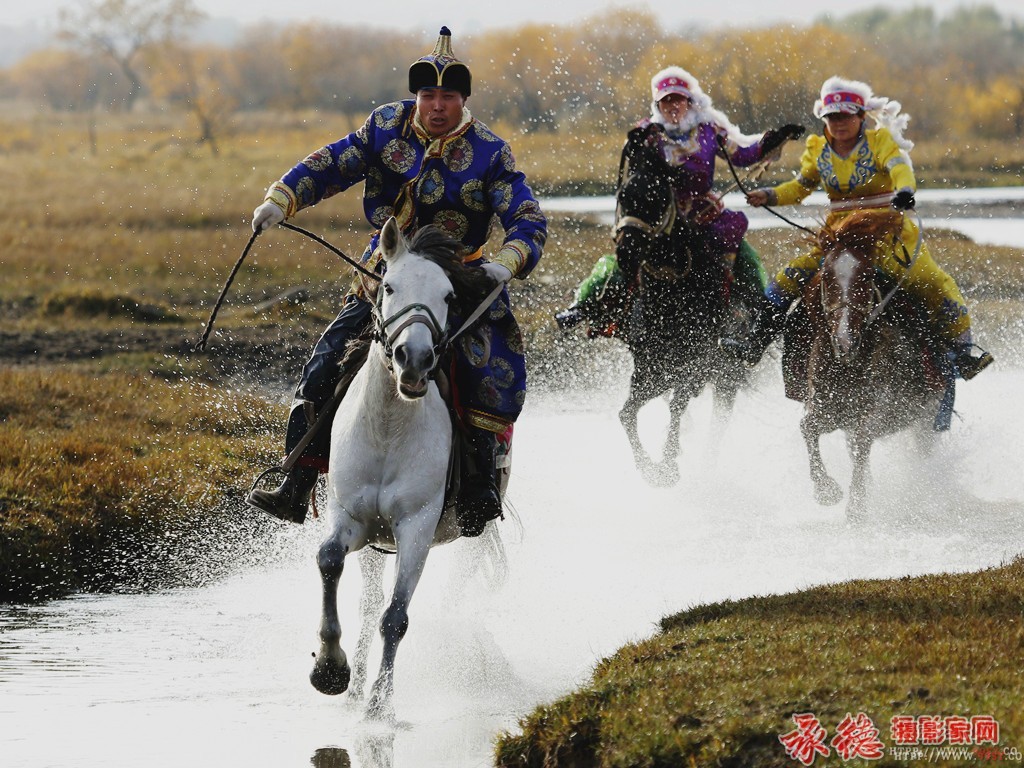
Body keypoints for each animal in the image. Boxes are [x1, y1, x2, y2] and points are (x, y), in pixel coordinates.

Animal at [309, 215, 505, 720]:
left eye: (449, 296)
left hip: (468, 531)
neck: (388, 428)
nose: (413, 361)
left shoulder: (416, 526)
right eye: (389, 286)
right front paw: (331, 670)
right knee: (368, 596)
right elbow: (330, 561)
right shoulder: (350, 515)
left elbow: (396, 618)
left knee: (457, 593)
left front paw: (380, 707)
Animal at [610, 125, 757, 487]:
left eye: (658, 197)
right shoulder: (650, 368)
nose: (626, 253)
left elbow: (678, 404)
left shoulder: (695, 365)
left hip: (728, 376)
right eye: (623, 195)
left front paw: (666, 464)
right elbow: (627, 412)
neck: (674, 294)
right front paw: (650, 468)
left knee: (718, 424)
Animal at [794, 210, 946, 520]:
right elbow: (807, 428)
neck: (847, 368)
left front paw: (856, 507)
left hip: (926, 417)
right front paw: (826, 491)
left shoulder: (880, 410)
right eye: (827, 277)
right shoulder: (827, 409)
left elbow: (864, 440)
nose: (845, 341)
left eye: (866, 276)